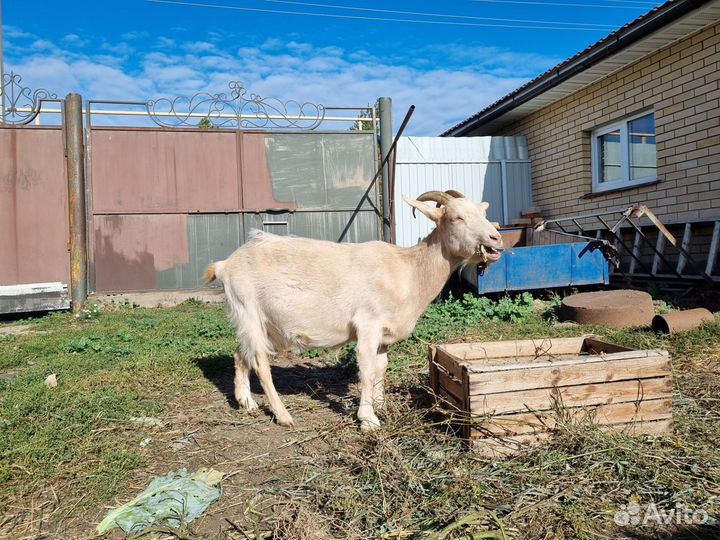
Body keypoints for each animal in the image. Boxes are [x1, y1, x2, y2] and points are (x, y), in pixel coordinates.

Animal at [205, 190, 504, 431]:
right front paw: (368, 419)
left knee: (240, 353)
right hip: (249, 308)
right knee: (260, 362)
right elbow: (368, 368)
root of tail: (225, 265)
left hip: (256, 321)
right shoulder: (368, 324)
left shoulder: (384, 334)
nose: (496, 239)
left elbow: (381, 367)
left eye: (482, 213)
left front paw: (381, 404)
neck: (407, 271)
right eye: (456, 218)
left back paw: (246, 401)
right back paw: (283, 415)